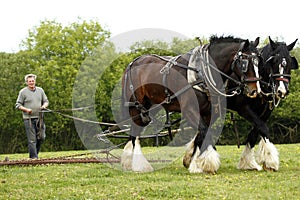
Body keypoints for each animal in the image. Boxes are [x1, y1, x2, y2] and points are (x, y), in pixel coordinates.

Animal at [120, 36, 262, 173]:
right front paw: (208, 163)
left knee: (135, 131)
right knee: (134, 133)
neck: (202, 73)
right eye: (244, 62)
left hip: (150, 106)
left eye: (258, 62)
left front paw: (192, 161)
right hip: (136, 105)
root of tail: (132, 63)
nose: (255, 90)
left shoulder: (208, 113)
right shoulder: (189, 110)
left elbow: (201, 135)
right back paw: (138, 164)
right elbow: (204, 131)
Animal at [227, 36, 298, 171]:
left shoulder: (265, 112)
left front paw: (248, 162)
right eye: (274, 61)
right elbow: (263, 128)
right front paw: (271, 161)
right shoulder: (243, 109)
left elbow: (255, 132)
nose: (282, 90)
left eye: (289, 62)